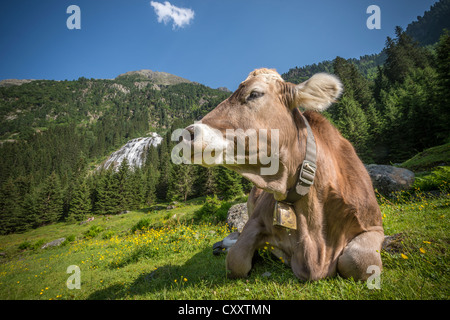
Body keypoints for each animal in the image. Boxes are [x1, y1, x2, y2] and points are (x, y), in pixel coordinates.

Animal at [179, 67, 384, 280]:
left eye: (254, 93)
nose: (186, 135)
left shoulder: (374, 225)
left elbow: (358, 261)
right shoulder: (255, 221)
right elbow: (236, 261)